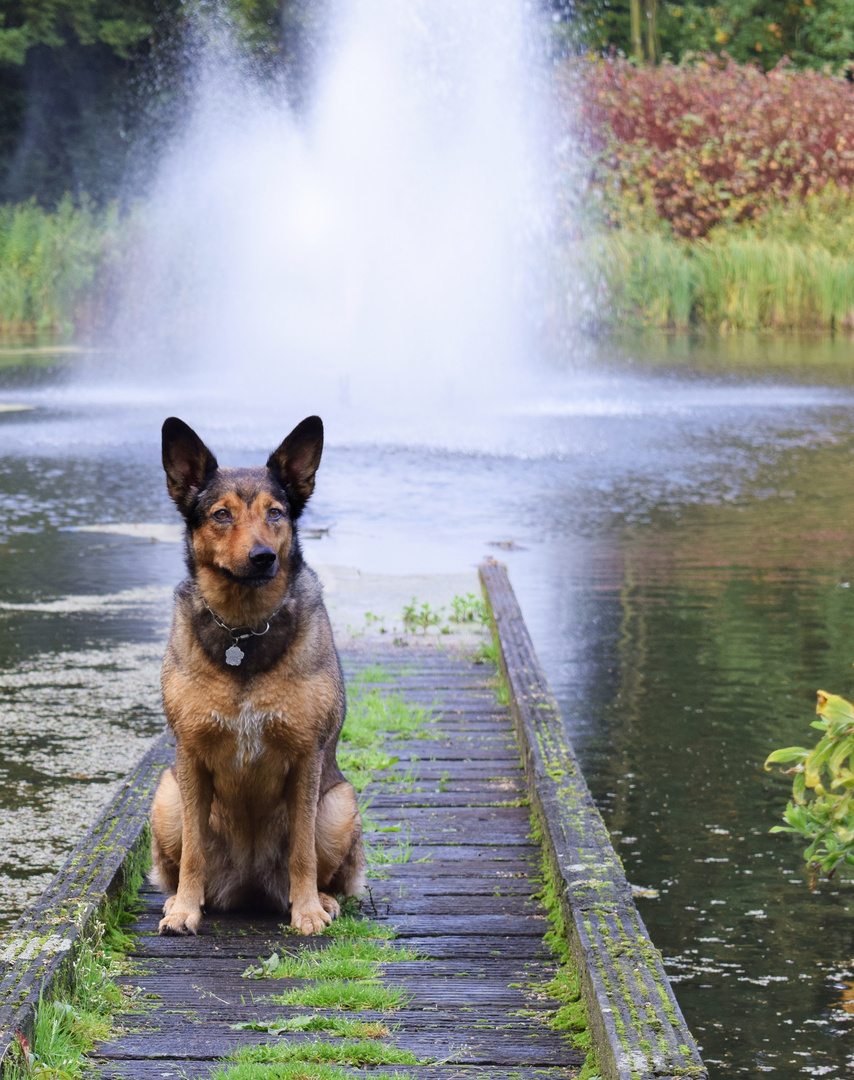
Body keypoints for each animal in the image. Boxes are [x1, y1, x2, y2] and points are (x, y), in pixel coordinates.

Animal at [150, 414, 364, 937]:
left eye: (276, 513)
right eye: (221, 515)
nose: (264, 556)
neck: (243, 631)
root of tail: (247, 887)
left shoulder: (306, 758)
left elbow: (302, 853)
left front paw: (306, 911)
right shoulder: (189, 757)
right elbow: (193, 854)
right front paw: (185, 910)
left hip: (339, 804)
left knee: (320, 865)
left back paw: (322, 900)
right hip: (166, 797)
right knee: (183, 861)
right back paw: (179, 899)